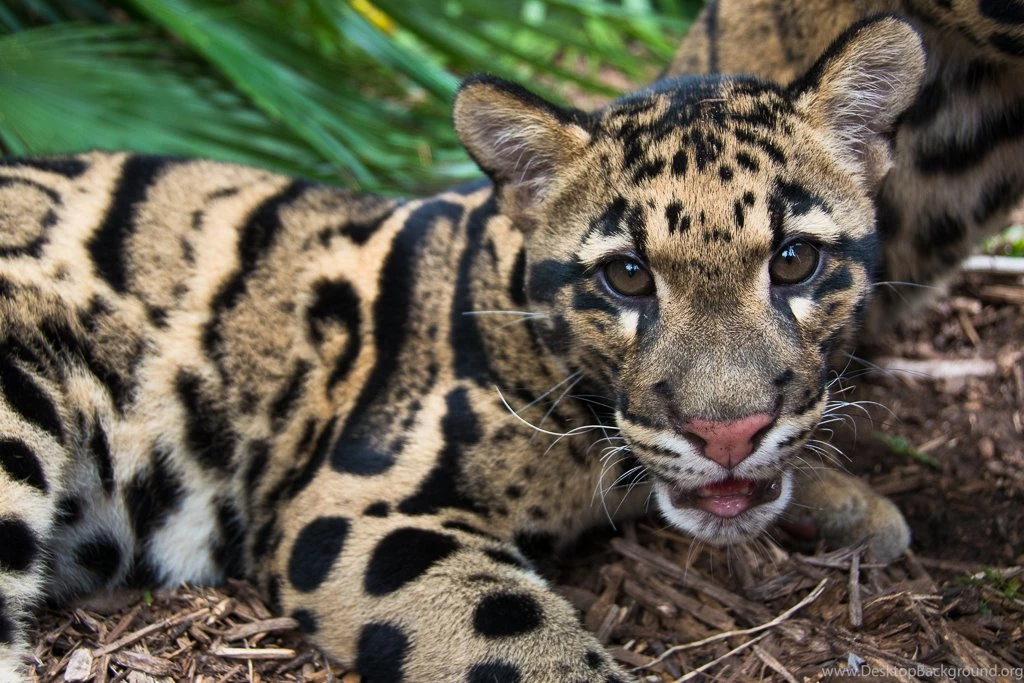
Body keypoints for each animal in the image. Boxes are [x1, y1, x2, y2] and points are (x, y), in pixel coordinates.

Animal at [0, 17, 924, 682]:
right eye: (626, 276)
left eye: (794, 260)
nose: (726, 432)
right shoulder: (357, 504)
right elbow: (527, 645)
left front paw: (849, 501)